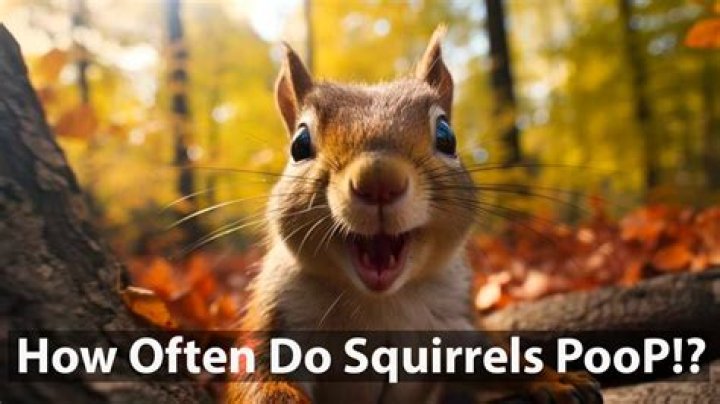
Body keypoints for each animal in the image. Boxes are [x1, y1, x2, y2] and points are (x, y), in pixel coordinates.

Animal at [227, 28, 602, 404]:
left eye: (446, 136)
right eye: (299, 145)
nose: (379, 180)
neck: (380, 304)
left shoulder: (458, 322)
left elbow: (500, 360)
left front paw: (557, 379)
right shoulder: (277, 319)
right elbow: (259, 378)